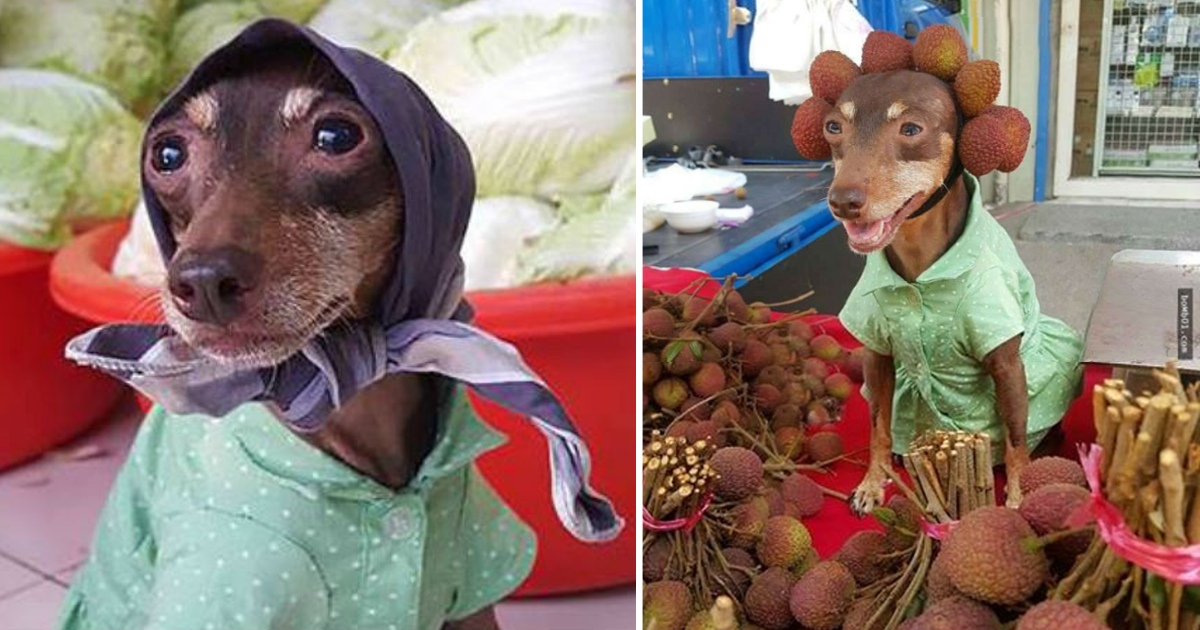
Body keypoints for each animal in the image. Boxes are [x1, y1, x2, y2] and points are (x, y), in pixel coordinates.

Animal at [820, 68, 1036, 513]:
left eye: (911, 129)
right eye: (833, 127)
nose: (842, 202)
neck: (918, 254)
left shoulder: (1006, 361)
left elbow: (1016, 439)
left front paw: (1019, 496)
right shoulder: (876, 353)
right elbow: (877, 426)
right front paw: (873, 481)